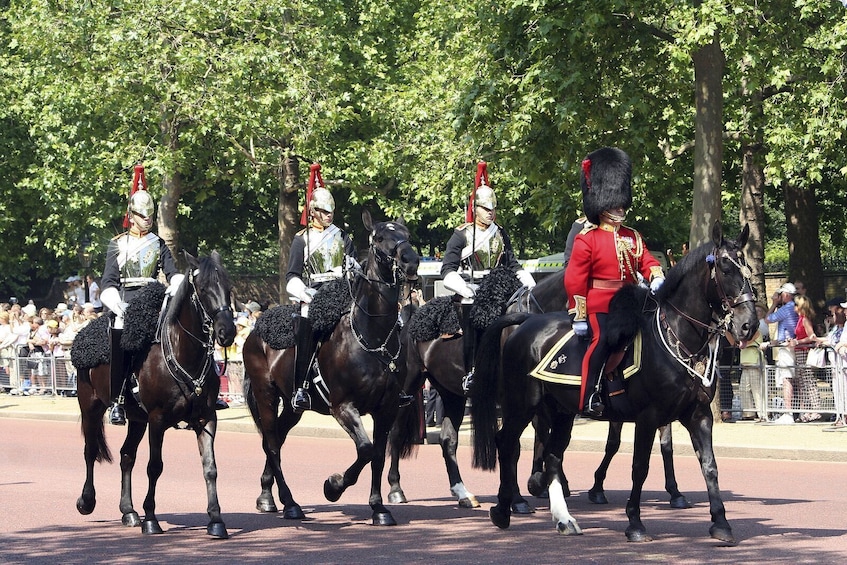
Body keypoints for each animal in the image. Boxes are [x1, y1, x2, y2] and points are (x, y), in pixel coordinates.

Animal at [73, 252, 237, 536]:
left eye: (228, 287)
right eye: (204, 289)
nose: (227, 332)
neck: (182, 353)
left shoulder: (206, 418)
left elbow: (210, 468)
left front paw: (216, 520)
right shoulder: (157, 420)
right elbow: (155, 467)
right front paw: (151, 518)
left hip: (136, 419)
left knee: (126, 456)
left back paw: (128, 511)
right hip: (90, 407)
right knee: (90, 450)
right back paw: (87, 501)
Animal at [242, 210, 420, 524]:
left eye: (406, 234)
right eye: (379, 238)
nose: (411, 261)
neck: (371, 336)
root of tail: (257, 328)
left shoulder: (387, 408)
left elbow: (377, 454)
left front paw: (379, 508)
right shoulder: (343, 406)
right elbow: (365, 450)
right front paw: (333, 486)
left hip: (292, 406)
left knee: (276, 438)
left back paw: (267, 496)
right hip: (266, 394)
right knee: (272, 443)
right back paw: (290, 504)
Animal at [470, 221, 756, 540]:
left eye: (748, 268)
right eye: (725, 268)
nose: (749, 325)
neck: (678, 336)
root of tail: (524, 320)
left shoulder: (698, 414)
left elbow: (709, 465)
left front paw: (720, 522)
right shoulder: (648, 416)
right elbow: (639, 467)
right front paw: (635, 523)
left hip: (561, 410)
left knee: (553, 455)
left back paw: (563, 518)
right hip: (522, 403)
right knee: (507, 442)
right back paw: (505, 508)